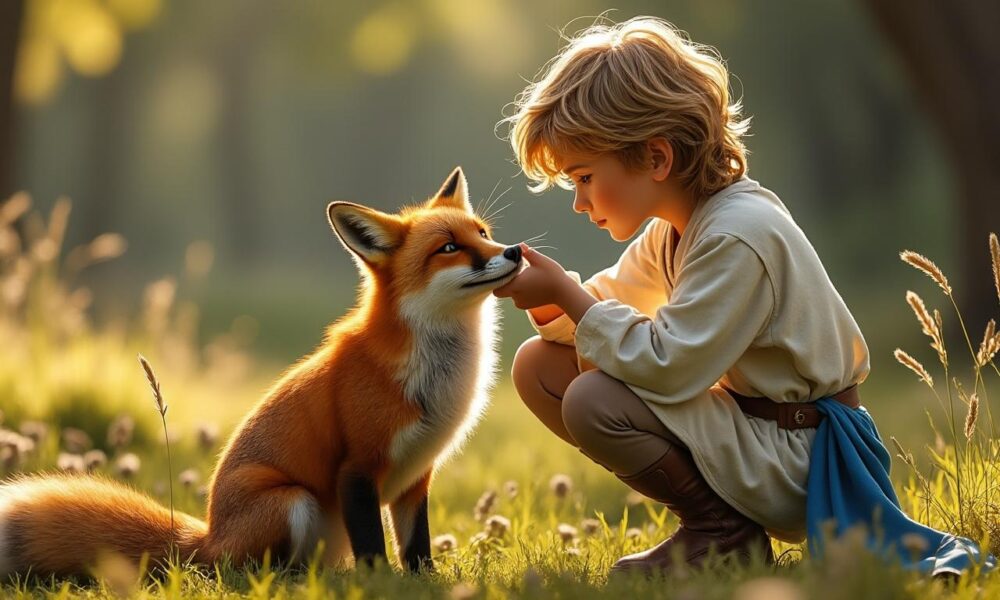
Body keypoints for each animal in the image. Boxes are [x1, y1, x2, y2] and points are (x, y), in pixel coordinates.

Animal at [0, 167, 524, 578]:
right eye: (449, 247)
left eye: (482, 233)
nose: (515, 251)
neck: (435, 373)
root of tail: (206, 540)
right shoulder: (357, 467)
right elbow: (375, 550)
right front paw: (382, 585)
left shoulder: (417, 478)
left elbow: (417, 550)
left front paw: (424, 583)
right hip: (292, 501)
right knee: (252, 572)